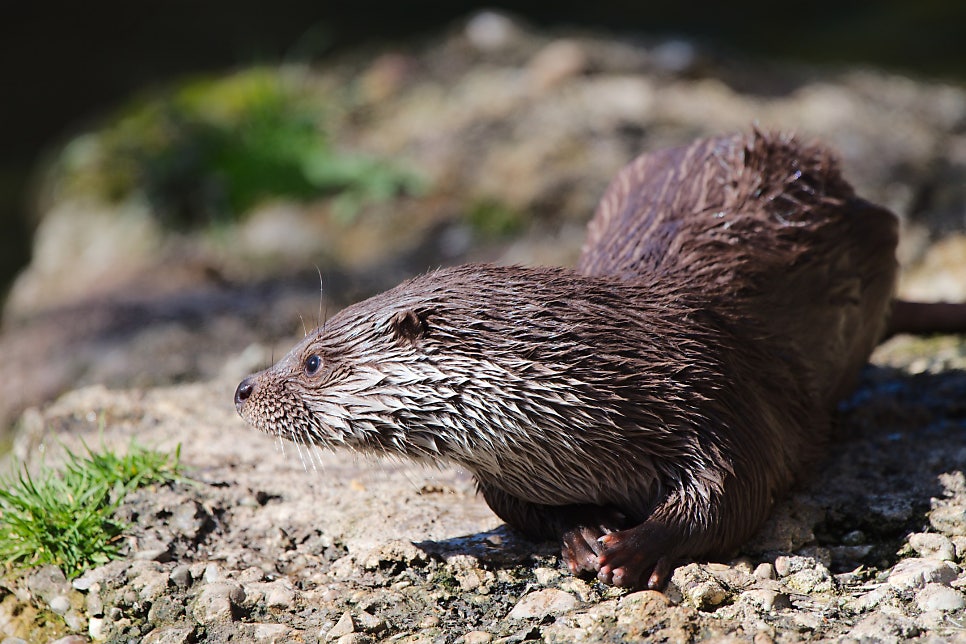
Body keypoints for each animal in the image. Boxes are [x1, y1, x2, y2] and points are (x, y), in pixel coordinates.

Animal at [235, 131, 965, 589]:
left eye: (312, 360)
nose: (242, 388)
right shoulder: (505, 472)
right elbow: (521, 511)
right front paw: (584, 531)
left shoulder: (718, 391)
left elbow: (735, 493)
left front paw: (635, 547)